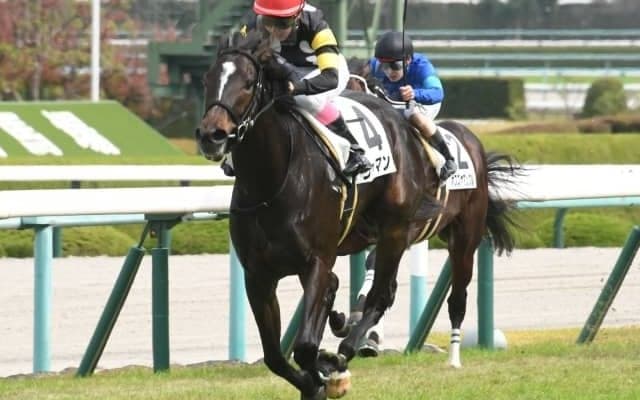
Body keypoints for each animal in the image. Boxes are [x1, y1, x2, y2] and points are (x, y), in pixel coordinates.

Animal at [196, 30, 519, 399]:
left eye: (249, 83)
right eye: (208, 79)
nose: (212, 135)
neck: (272, 181)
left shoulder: (317, 260)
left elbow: (305, 346)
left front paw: (329, 373)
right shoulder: (258, 275)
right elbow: (276, 356)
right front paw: (316, 377)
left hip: (432, 235)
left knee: (414, 295)